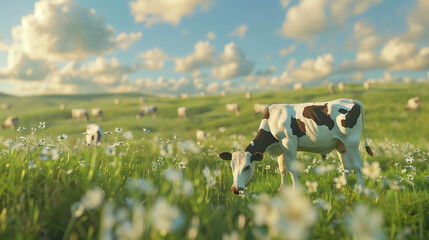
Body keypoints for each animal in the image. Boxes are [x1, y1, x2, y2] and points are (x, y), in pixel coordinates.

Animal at [219, 98, 372, 194]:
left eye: (247, 167)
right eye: (231, 166)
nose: (235, 189)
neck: (272, 120)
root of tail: (351, 100)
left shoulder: (289, 143)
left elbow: (292, 169)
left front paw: (296, 191)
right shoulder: (280, 148)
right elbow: (283, 170)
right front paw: (281, 189)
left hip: (351, 141)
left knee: (357, 164)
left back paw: (361, 188)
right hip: (340, 144)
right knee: (346, 166)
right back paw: (341, 186)